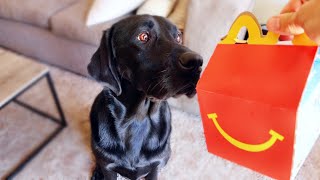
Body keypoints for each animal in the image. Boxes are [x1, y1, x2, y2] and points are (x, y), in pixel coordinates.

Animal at [87, 14, 202, 179]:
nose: (197, 62)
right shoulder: (109, 167)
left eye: (179, 37)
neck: (139, 118)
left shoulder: (154, 166)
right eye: (143, 36)